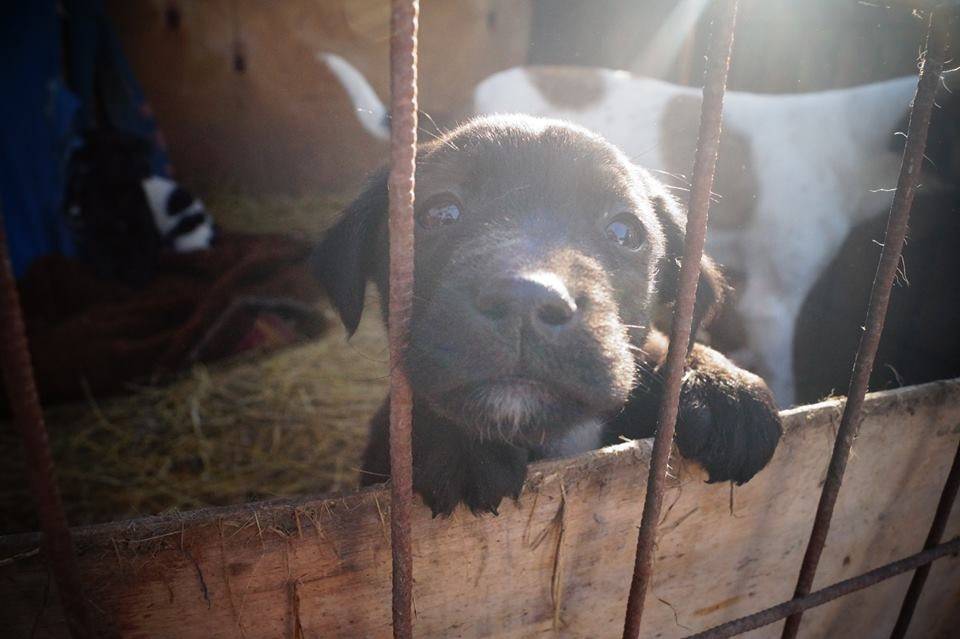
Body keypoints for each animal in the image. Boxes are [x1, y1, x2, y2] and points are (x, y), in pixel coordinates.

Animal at [316, 114, 780, 516]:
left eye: (624, 232)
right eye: (440, 212)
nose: (525, 297)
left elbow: (661, 344)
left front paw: (725, 386)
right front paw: (461, 438)